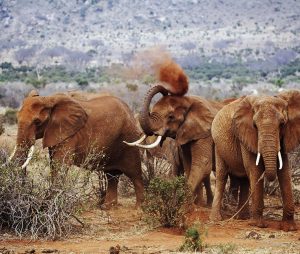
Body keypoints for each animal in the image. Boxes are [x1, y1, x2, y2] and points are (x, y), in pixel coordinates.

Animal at [10, 91, 144, 208]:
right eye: (17, 118)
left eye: (37, 122)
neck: (49, 99)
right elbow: (53, 165)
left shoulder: (69, 135)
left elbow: (60, 165)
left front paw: (48, 206)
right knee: (111, 175)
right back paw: (107, 207)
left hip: (129, 138)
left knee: (134, 173)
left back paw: (139, 208)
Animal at [210, 90, 300, 231]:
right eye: (255, 126)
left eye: (282, 124)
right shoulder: (245, 135)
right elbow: (255, 169)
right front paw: (258, 225)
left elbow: (284, 171)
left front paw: (289, 227)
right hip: (218, 144)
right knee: (222, 176)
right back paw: (216, 219)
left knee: (245, 179)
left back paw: (242, 218)